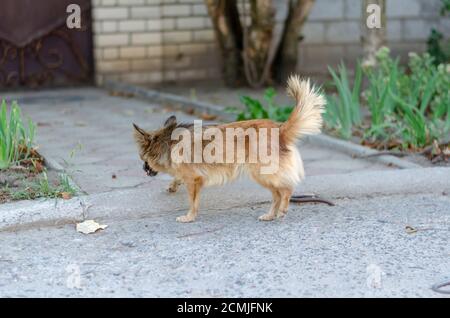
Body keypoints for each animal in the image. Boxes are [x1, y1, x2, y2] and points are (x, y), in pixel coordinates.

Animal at [132, 76, 326, 222]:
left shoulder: (193, 180)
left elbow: (192, 202)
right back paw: (270, 215)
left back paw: (283, 209)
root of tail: (280, 128)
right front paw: (173, 187)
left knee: (286, 189)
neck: (168, 143)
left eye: (143, 160)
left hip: (262, 173)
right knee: (277, 194)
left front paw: (189, 217)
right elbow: (183, 186)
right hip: (263, 176)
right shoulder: (192, 179)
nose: (143, 170)